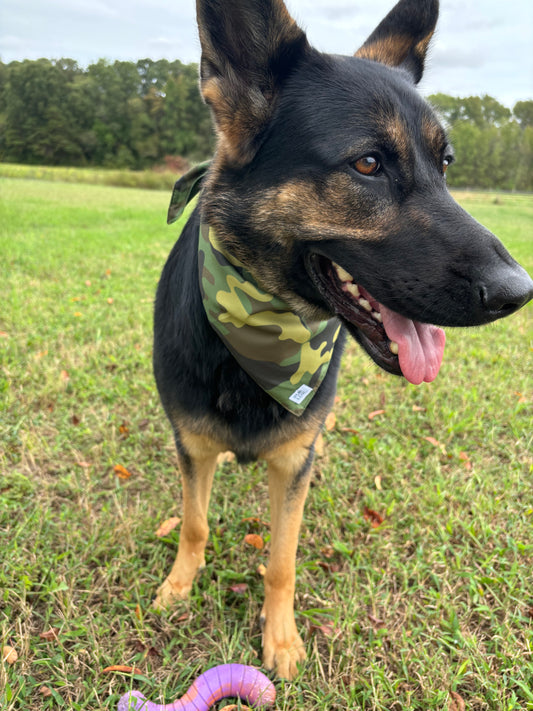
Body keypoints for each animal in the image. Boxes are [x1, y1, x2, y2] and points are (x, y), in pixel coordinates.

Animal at [151, 0, 532, 680]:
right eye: (368, 164)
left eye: (445, 165)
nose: (521, 291)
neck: (263, 332)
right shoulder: (191, 445)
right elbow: (194, 525)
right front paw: (179, 587)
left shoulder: (293, 463)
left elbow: (282, 558)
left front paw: (279, 638)